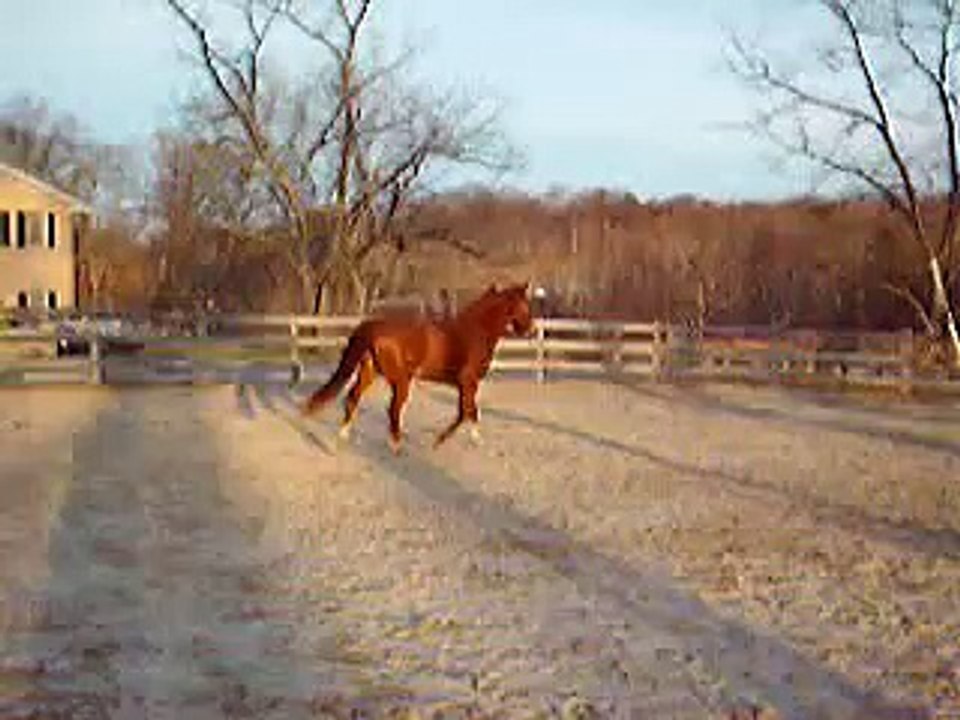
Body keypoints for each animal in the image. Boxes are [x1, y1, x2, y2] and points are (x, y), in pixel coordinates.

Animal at [301, 282, 535, 451]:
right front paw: (444, 441)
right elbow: (466, 412)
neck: (475, 331)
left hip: (369, 372)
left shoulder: (465, 384)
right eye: (526, 306)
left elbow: (468, 411)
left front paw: (467, 439)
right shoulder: (469, 381)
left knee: (353, 398)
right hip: (401, 380)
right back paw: (396, 445)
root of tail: (372, 327)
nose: (531, 330)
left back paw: (341, 438)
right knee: (393, 409)